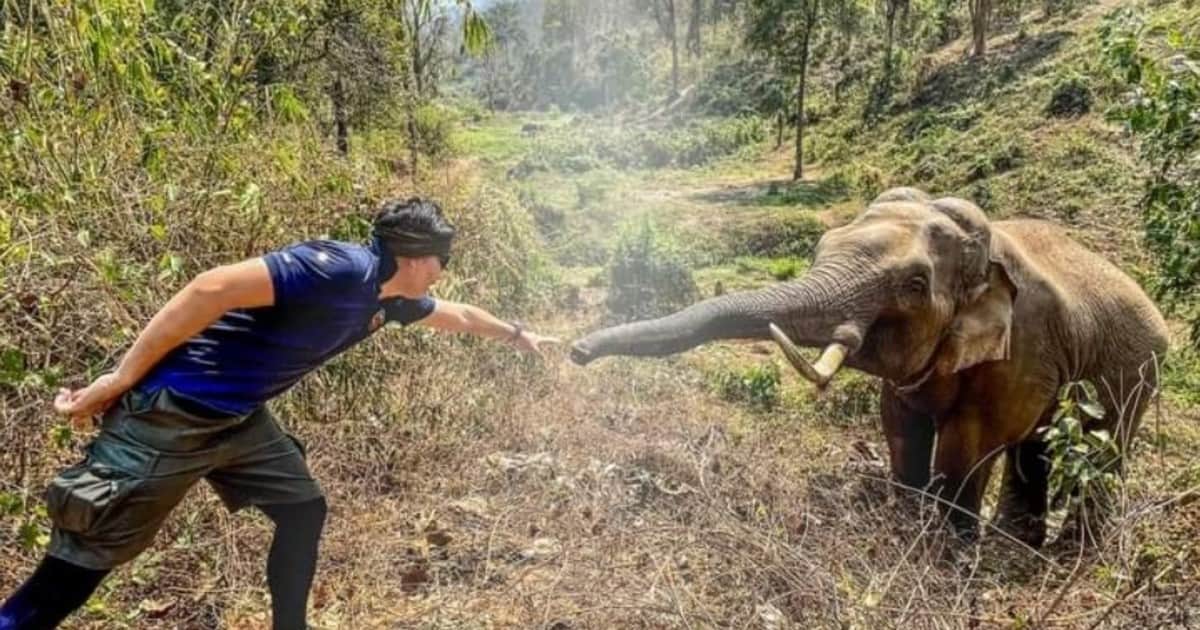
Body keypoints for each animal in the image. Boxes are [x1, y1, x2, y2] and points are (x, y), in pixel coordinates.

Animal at [570, 187, 1169, 546]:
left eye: (915, 285)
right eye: (821, 247)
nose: (575, 351)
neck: (984, 249)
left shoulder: (1023, 347)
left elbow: (971, 441)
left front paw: (948, 551)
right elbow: (900, 423)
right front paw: (907, 521)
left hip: (1138, 368)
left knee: (1103, 449)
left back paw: (1066, 551)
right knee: (1036, 448)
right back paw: (1020, 544)